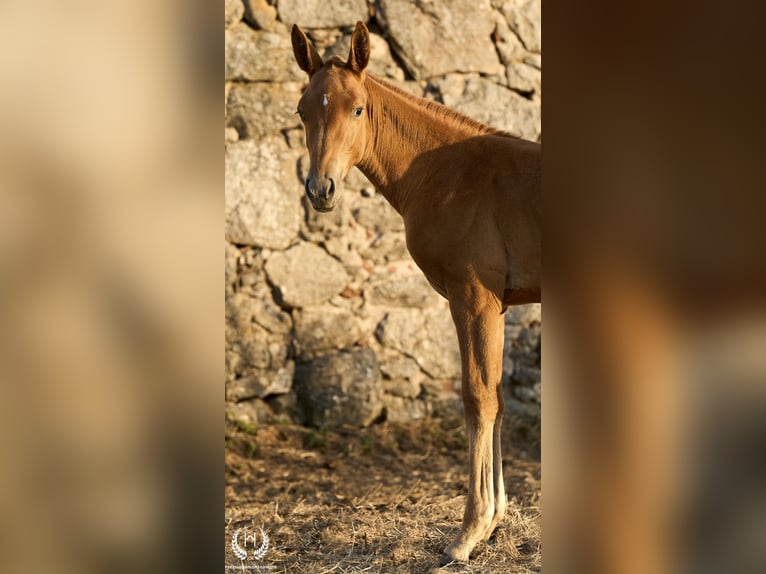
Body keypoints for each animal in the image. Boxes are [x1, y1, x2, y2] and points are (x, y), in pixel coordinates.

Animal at [292, 20, 544, 564]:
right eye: (302, 110)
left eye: (358, 109)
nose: (321, 190)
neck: (446, 173)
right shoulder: (499, 305)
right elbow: (497, 396)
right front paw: (494, 521)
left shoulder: (473, 299)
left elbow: (477, 399)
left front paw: (469, 532)